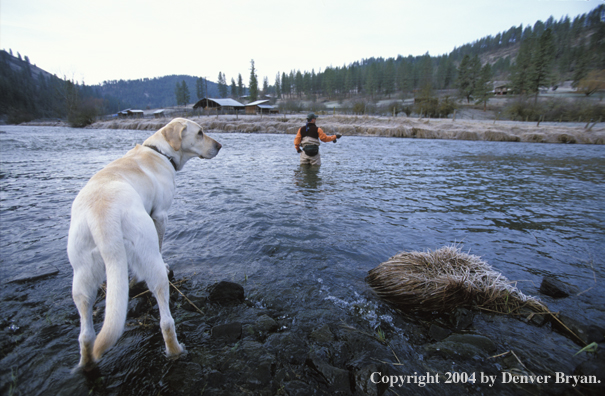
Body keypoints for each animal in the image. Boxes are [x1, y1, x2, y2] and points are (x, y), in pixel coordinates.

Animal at [67, 116, 221, 370]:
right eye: (200, 133)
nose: (220, 145)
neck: (160, 151)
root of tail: (103, 214)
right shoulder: (160, 215)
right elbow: (161, 243)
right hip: (149, 259)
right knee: (166, 321)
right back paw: (176, 351)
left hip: (81, 277)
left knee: (86, 334)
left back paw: (88, 362)